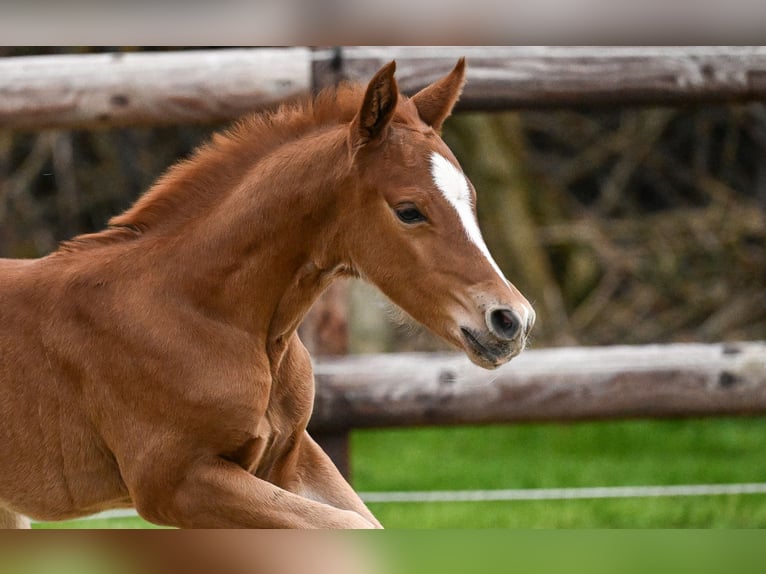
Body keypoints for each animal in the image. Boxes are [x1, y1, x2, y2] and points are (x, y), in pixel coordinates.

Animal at [0, 58, 535, 529]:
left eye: (471, 198)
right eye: (408, 210)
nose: (512, 319)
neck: (204, 313)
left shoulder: (289, 459)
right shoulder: (177, 483)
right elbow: (350, 526)